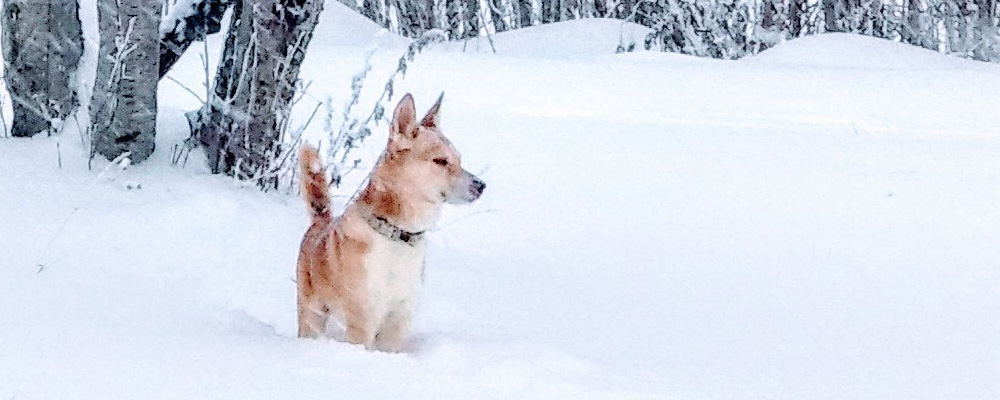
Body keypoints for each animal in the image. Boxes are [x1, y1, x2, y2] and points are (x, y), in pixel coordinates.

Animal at [294, 93, 486, 350]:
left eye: (459, 160)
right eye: (440, 161)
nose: (481, 185)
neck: (397, 235)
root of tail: (320, 222)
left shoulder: (398, 320)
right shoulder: (362, 319)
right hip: (312, 313)